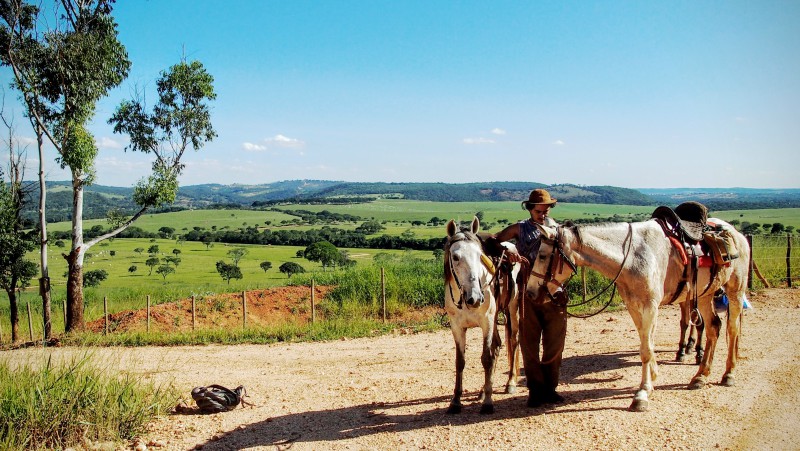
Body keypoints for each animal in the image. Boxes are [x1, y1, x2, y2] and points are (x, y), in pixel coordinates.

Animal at [444, 217, 520, 414]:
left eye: (480, 255)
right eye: (455, 257)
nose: (476, 298)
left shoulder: (487, 323)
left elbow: (487, 358)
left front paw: (488, 403)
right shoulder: (457, 327)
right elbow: (460, 361)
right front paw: (455, 401)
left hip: (513, 308)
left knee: (513, 341)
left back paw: (510, 382)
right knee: (499, 345)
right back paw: (483, 390)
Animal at [528, 219, 748, 414]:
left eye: (542, 255)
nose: (530, 292)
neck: (633, 257)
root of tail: (737, 235)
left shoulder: (651, 306)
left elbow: (646, 350)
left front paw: (641, 394)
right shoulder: (634, 307)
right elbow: (646, 343)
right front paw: (651, 380)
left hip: (735, 292)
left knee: (732, 329)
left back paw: (728, 374)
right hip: (704, 295)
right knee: (713, 328)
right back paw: (700, 376)